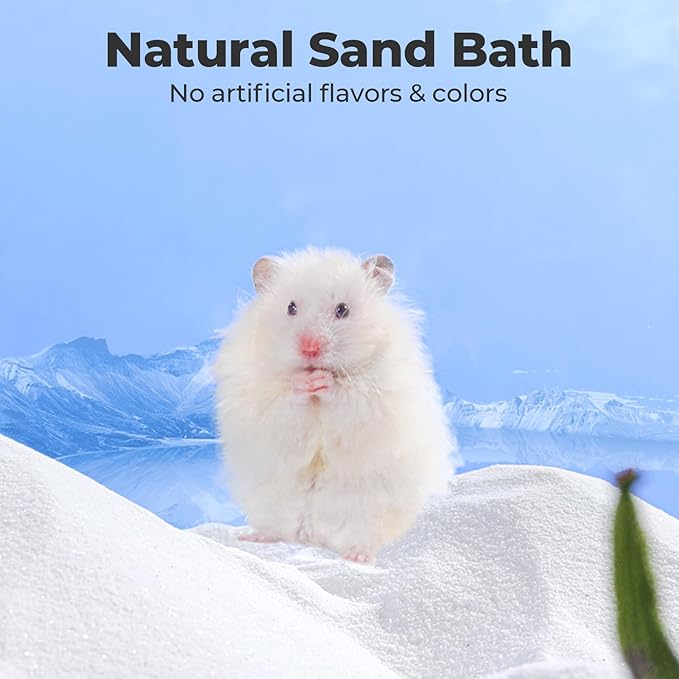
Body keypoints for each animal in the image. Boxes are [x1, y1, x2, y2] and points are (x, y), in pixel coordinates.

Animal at [214, 247, 456, 563]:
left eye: (342, 309)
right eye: (290, 307)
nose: (309, 347)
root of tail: (311, 535)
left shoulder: (378, 398)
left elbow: (348, 398)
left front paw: (325, 382)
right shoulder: (257, 397)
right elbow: (285, 403)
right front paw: (304, 383)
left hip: (370, 510)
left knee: (362, 536)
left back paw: (358, 556)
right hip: (267, 499)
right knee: (277, 528)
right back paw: (254, 536)